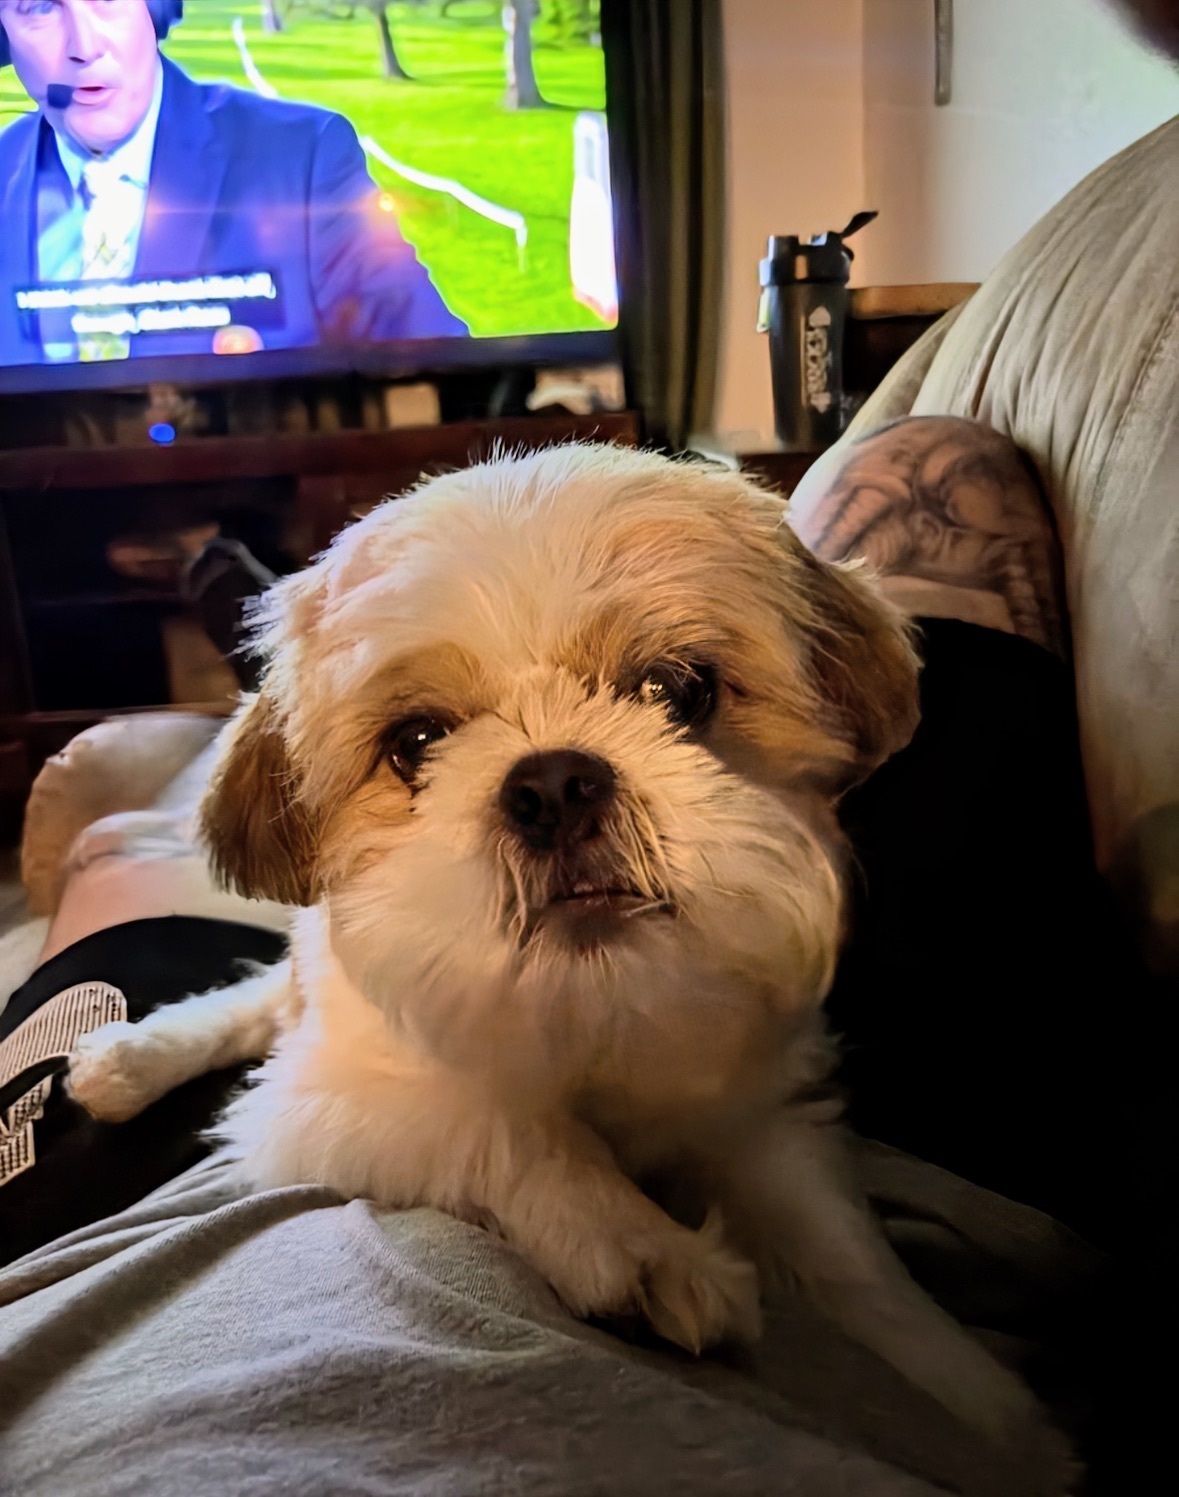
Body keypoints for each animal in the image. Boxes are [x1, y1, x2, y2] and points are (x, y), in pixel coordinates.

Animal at [68, 443, 1070, 1481]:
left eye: (677, 689)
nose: (551, 781)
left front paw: (992, 1411)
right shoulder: (329, 1101)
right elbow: (507, 1124)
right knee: (261, 1004)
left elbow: (855, 1266)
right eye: (416, 742)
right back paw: (134, 1059)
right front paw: (646, 1245)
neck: (593, 997)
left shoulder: (759, 1119)